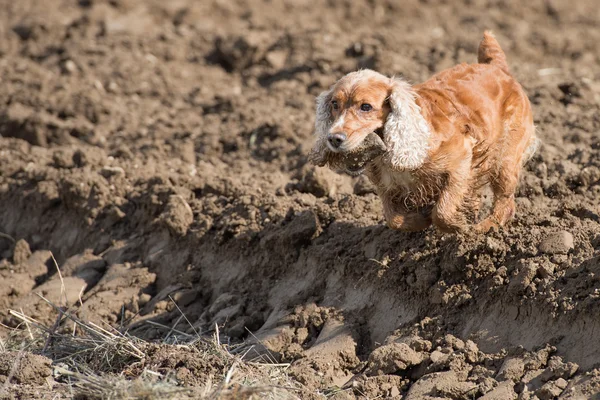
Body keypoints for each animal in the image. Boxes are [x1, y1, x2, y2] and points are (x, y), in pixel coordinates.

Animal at [310, 32, 540, 234]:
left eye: (366, 107)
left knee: (505, 201)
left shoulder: (461, 160)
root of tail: (497, 67)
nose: (334, 138)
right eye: (334, 104)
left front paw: (458, 225)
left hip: (506, 159)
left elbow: (443, 210)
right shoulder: (385, 185)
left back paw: (485, 228)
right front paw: (420, 219)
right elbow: (393, 218)